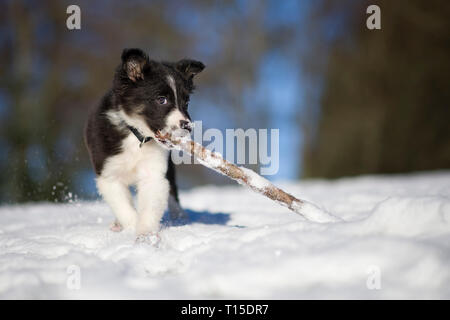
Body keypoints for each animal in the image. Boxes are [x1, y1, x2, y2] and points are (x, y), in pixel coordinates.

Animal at [84, 47, 204, 238]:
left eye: (186, 102)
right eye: (161, 99)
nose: (187, 126)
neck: (137, 136)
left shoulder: (153, 173)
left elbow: (150, 206)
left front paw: (146, 234)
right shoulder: (109, 175)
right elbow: (124, 208)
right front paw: (132, 228)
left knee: (173, 192)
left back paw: (180, 217)